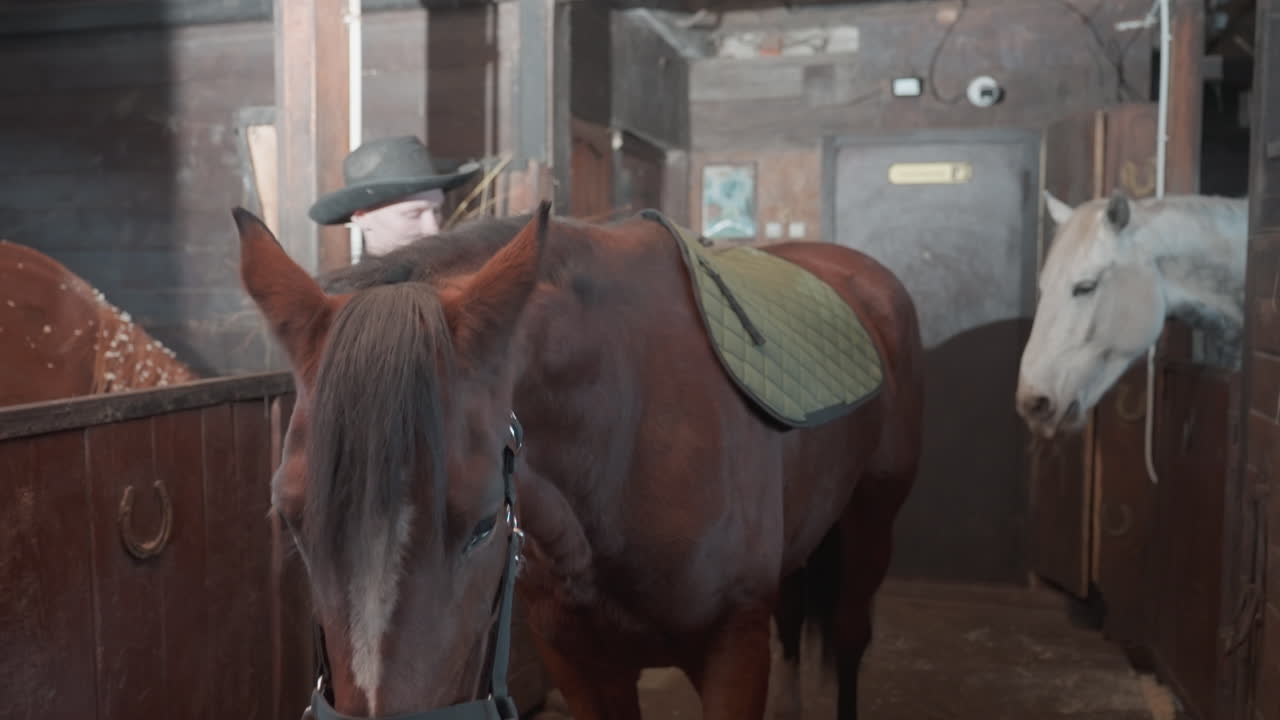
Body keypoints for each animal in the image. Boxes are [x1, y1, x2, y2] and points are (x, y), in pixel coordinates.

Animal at [232, 201, 924, 720]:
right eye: (291, 521)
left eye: (484, 524)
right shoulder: (580, 661)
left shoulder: (733, 650)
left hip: (872, 526)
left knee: (849, 636)